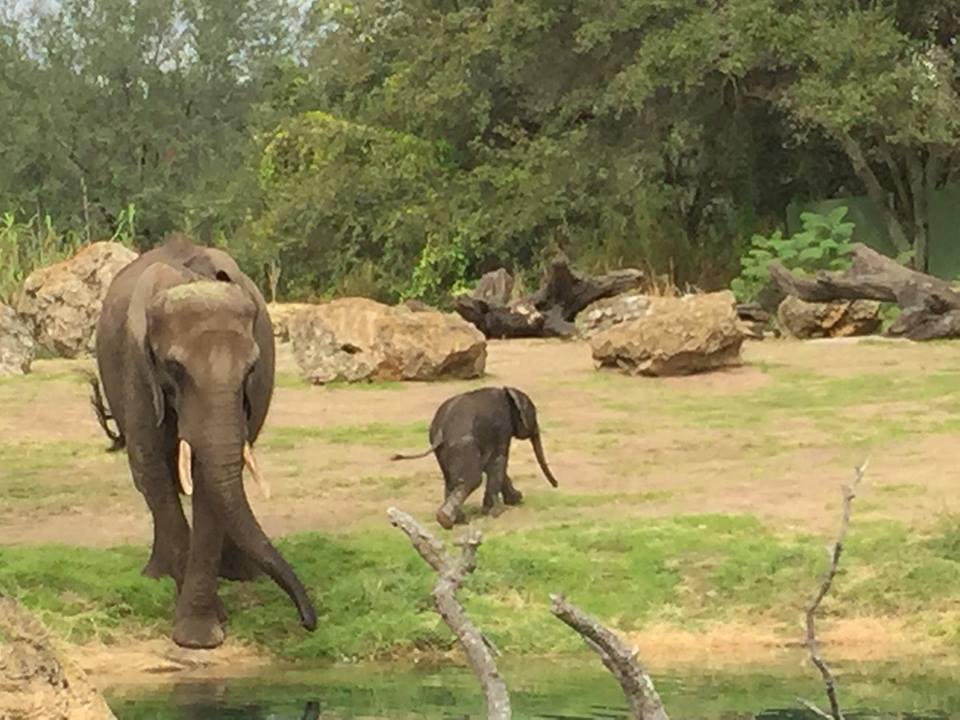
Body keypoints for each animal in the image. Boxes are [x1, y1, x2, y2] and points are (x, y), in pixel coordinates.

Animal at [92, 232, 316, 648]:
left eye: (251, 368)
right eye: (174, 368)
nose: (308, 621)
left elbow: (208, 483)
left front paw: (202, 633)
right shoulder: (137, 370)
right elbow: (151, 469)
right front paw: (202, 630)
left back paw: (240, 574)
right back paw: (157, 575)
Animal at [391, 386, 559, 529]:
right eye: (535, 414)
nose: (556, 485)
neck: (507, 392)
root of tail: (440, 432)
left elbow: (492, 465)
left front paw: (514, 500)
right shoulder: (502, 426)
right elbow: (498, 460)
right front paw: (498, 512)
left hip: (444, 449)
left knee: (451, 480)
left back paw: (457, 520)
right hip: (463, 444)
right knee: (472, 479)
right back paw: (446, 520)